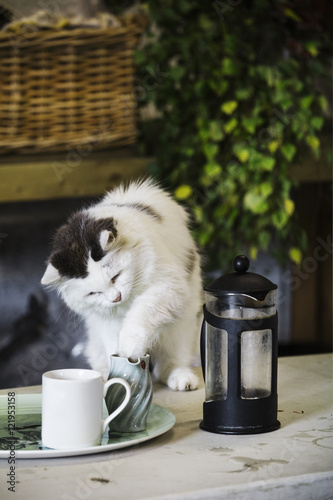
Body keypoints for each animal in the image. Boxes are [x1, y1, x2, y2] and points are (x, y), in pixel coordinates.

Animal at [41, 180, 202, 390]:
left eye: (115, 277)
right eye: (93, 293)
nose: (116, 297)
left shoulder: (167, 287)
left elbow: (137, 320)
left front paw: (129, 352)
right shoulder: (108, 322)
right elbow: (114, 347)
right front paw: (120, 372)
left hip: (181, 328)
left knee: (170, 364)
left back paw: (181, 378)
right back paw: (102, 376)